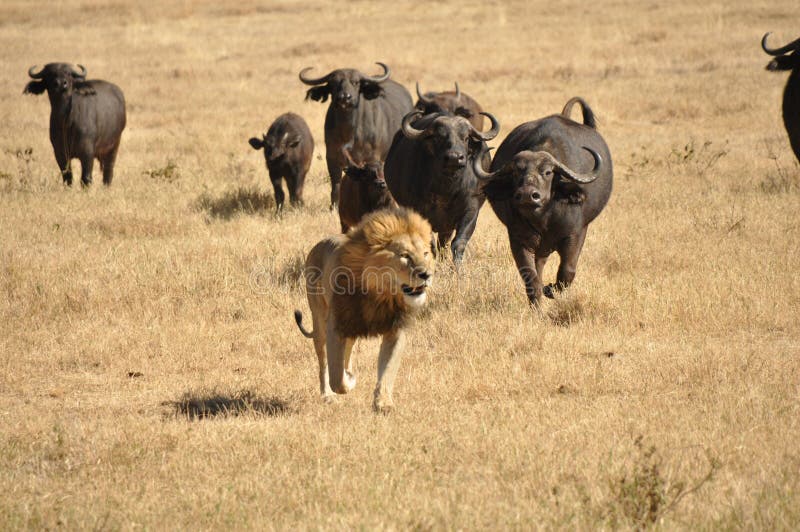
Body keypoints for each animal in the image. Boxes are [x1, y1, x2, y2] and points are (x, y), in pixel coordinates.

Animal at [294, 207, 434, 412]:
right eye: (405, 255)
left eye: (425, 253)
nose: (427, 274)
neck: (380, 294)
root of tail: (317, 245)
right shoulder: (336, 326)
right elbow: (337, 378)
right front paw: (349, 381)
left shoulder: (396, 330)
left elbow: (388, 369)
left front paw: (383, 403)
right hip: (320, 321)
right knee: (324, 362)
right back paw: (327, 395)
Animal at [300, 63, 412, 209]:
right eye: (333, 83)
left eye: (356, 82)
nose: (345, 97)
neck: (349, 131)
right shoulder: (332, 157)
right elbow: (336, 186)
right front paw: (334, 207)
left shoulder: (371, 158)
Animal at [382, 110, 500, 264]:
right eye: (439, 137)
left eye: (466, 138)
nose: (455, 158)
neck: (447, 190)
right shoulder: (419, 210)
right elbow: (429, 243)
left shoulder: (471, 209)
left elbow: (458, 242)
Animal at [476, 97, 612, 306]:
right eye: (517, 171)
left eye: (548, 172)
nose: (527, 195)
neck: (544, 218)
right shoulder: (518, 239)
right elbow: (531, 277)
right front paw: (537, 304)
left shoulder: (576, 233)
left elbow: (567, 271)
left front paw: (550, 290)